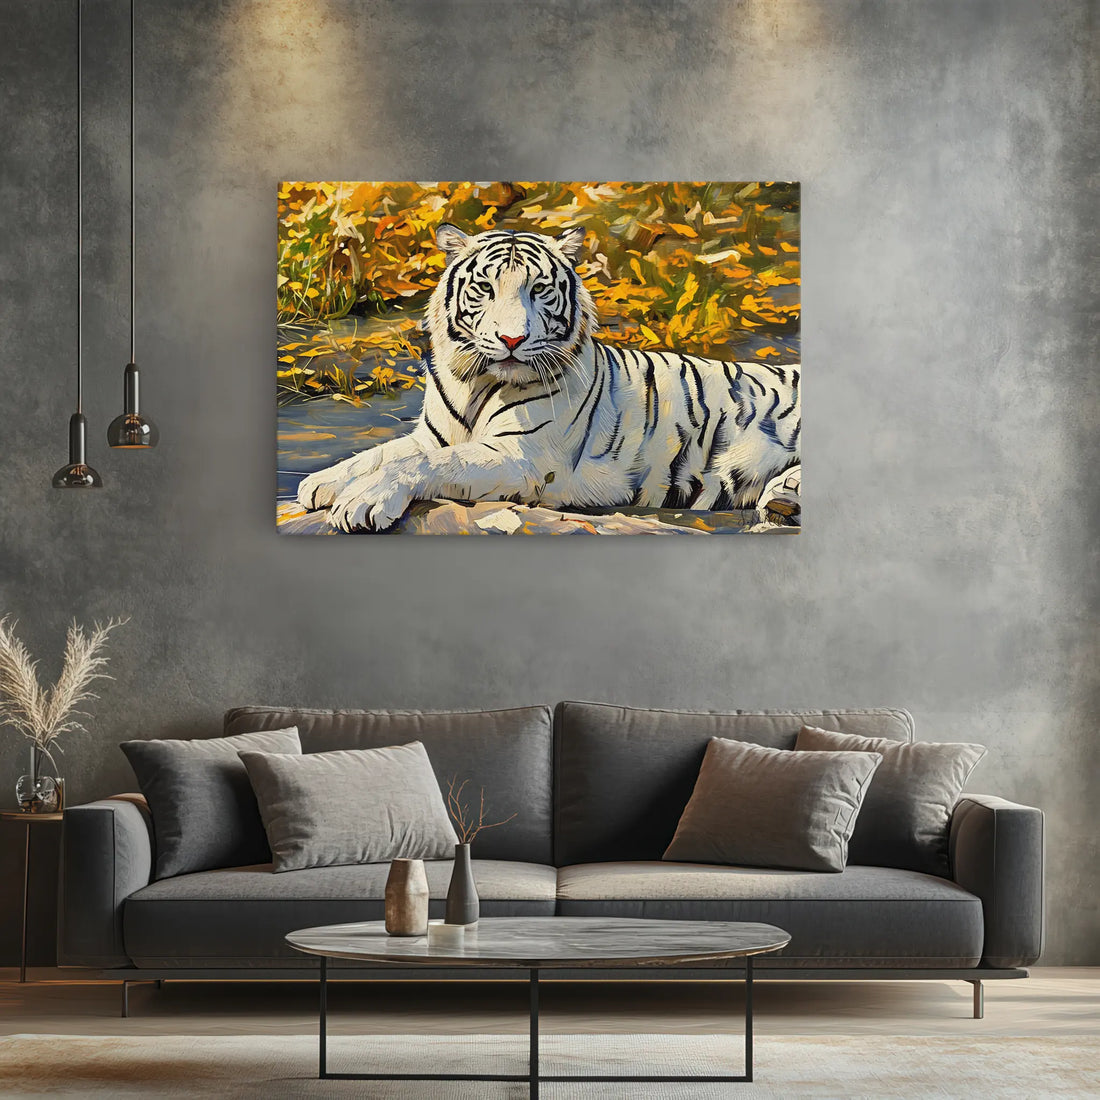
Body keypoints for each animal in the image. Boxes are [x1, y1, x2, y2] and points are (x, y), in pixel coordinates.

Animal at [296, 223, 801, 532]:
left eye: (538, 290)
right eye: (485, 288)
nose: (511, 338)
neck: (476, 382)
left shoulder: (520, 456)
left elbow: (425, 464)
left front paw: (362, 502)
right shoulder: (432, 435)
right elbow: (381, 453)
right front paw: (321, 482)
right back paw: (784, 499)